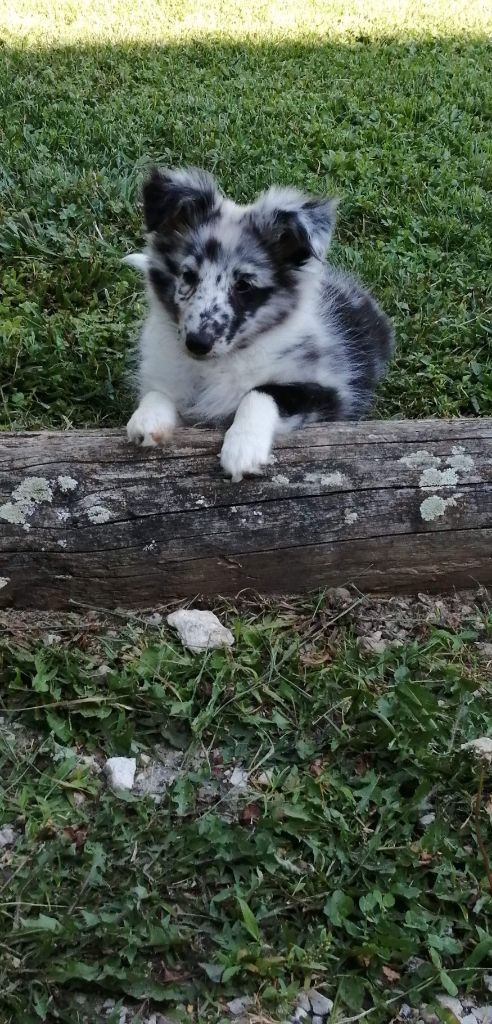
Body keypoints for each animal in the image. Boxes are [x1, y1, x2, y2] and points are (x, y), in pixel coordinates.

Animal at [125, 168, 393, 483]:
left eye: (244, 285)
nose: (197, 344)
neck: (217, 366)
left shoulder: (327, 395)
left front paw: (242, 448)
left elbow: (261, 392)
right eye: (188, 275)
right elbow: (159, 392)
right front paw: (147, 419)